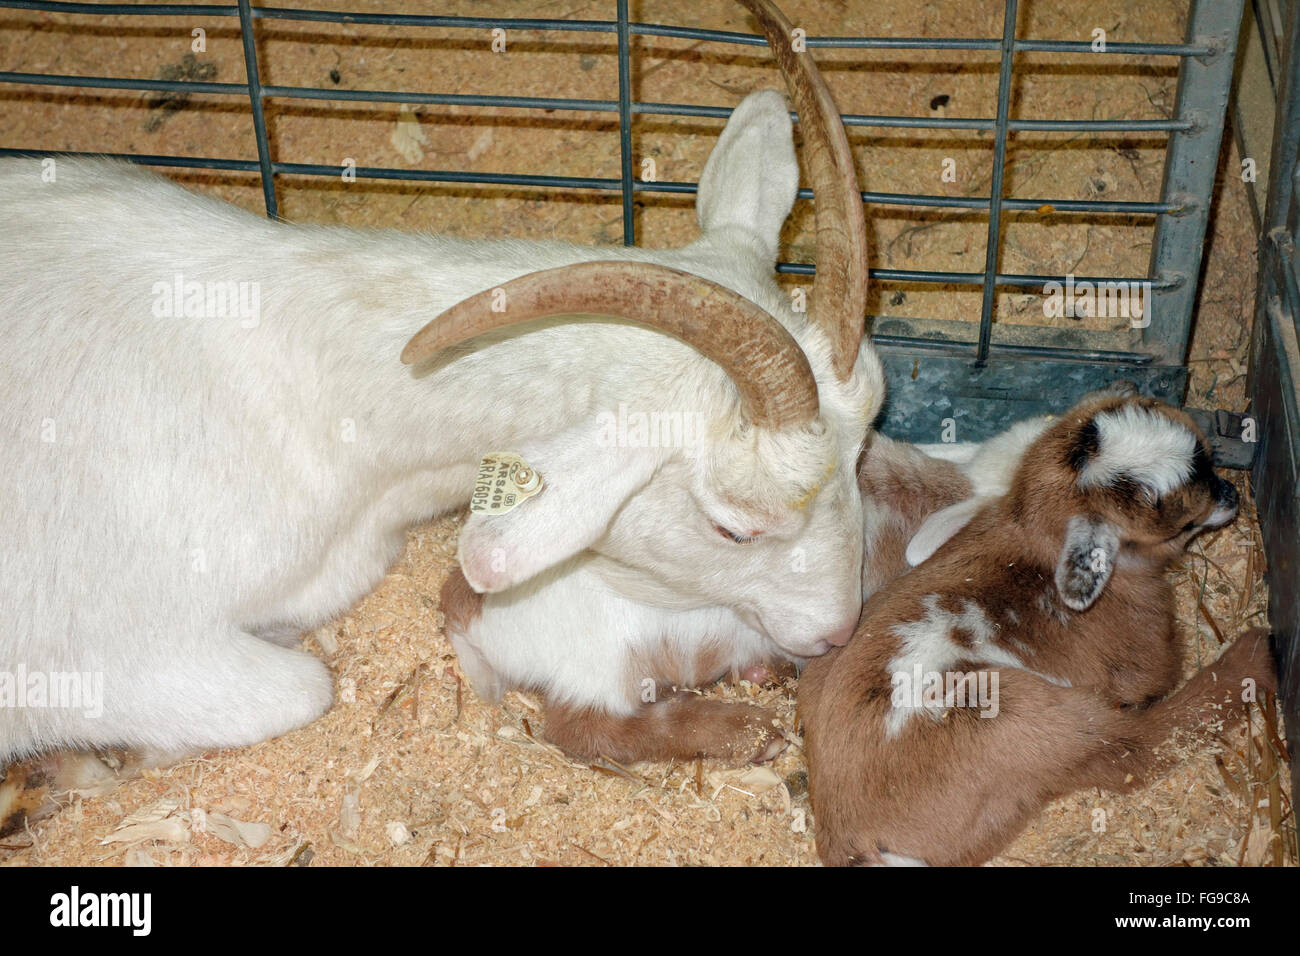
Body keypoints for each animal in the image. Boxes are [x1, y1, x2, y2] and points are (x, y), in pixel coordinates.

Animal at [799, 393, 1276, 866]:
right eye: (1179, 521)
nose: (1232, 494)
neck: (1036, 549)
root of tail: (846, 832)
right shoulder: (1144, 662)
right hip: (1019, 712)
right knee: (1134, 749)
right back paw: (1255, 655)